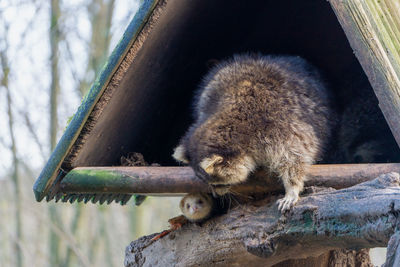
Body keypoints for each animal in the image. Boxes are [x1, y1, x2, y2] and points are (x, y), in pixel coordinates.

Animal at [173, 54, 332, 213]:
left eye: (217, 183)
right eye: (207, 182)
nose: (216, 195)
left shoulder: (278, 125)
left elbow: (295, 156)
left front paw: (292, 188)